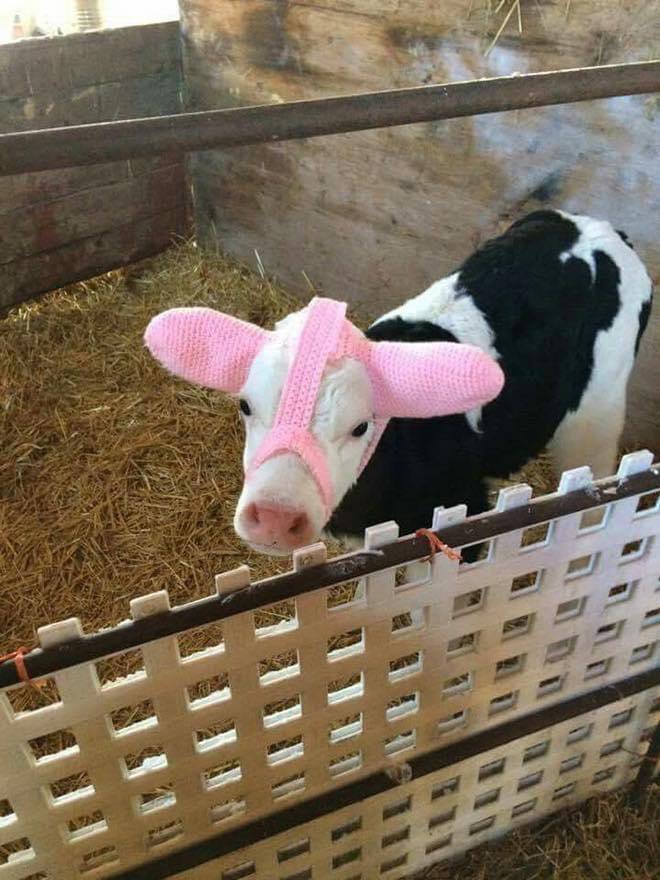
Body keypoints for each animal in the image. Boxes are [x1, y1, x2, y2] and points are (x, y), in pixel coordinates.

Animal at [145, 210, 653, 557]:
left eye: (361, 426)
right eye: (245, 406)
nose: (273, 516)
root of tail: (597, 228)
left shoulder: (465, 514)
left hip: (598, 409)